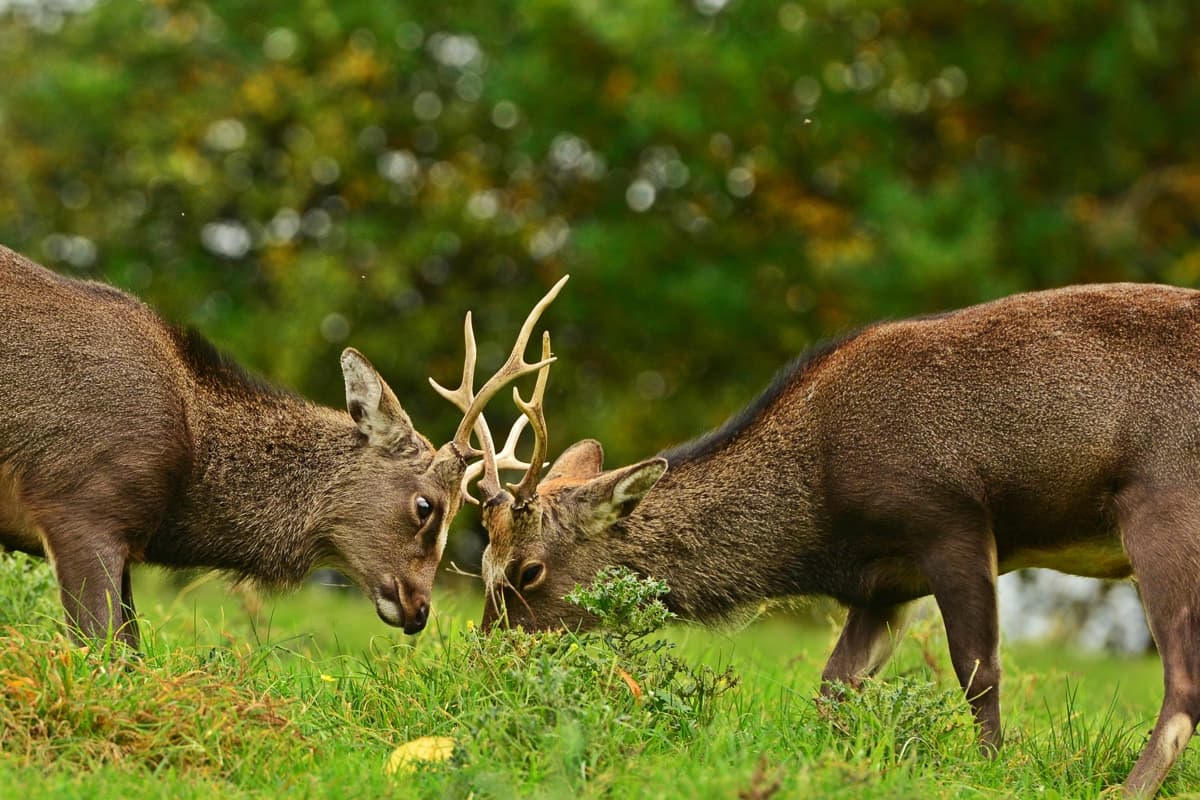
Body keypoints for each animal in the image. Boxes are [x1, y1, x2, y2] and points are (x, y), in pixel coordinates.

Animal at [472, 282, 1200, 797]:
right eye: (481, 566)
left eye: (528, 572)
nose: (483, 664)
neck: (821, 524)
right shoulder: (884, 586)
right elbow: (835, 687)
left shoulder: (948, 517)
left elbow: (977, 671)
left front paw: (993, 772)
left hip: (1166, 499)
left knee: (1183, 682)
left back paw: (1124, 790)